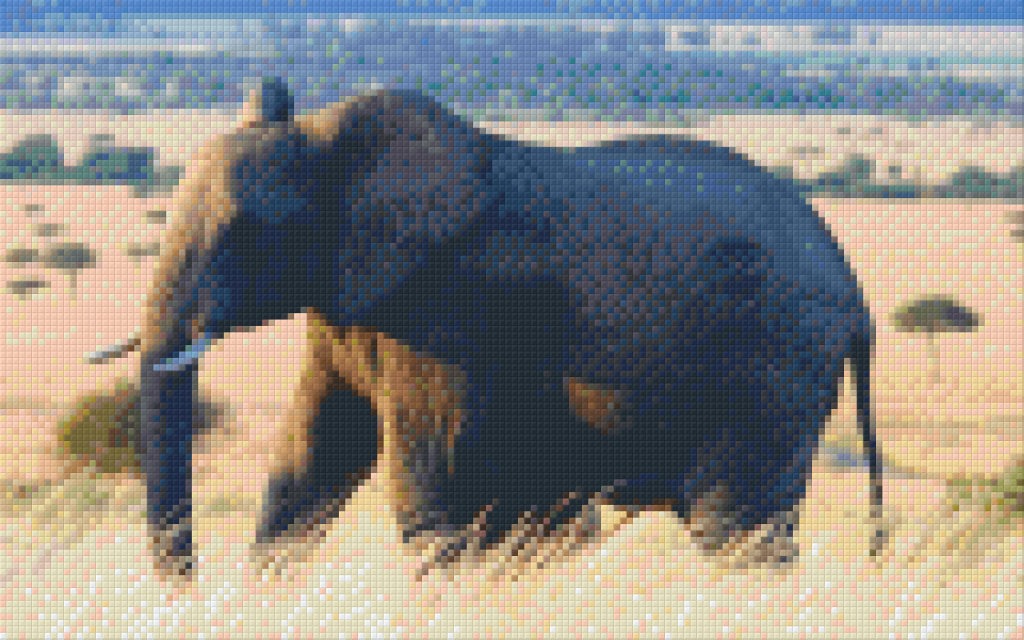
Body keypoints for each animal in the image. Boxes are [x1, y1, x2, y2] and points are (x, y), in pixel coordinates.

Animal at [86, 76, 885, 577]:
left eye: (251, 231)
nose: (186, 587)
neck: (328, 138)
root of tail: (855, 292)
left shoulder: (449, 306)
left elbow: (427, 476)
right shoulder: (348, 303)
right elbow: (312, 460)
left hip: (776, 366)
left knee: (736, 531)